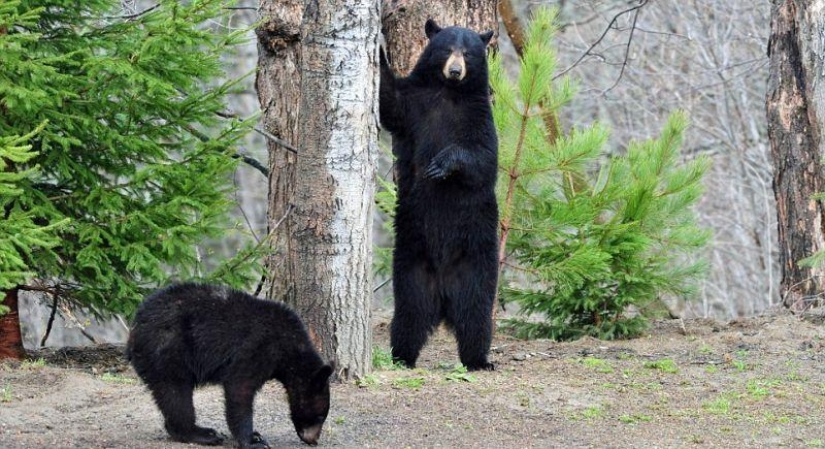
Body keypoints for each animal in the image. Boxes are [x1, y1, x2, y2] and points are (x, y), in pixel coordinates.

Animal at [126, 282, 333, 448]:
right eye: (321, 416)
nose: (313, 440)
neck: (290, 347)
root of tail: (135, 326)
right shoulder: (258, 348)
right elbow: (239, 387)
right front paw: (252, 441)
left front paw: (256, 435)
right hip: (167, 349)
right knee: (175, 393)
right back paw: (204, 434)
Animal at [379, 19, 498, 371]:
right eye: (447, 49)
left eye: (468, 52)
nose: (455, 71)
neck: (448, 92)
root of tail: (444, 295)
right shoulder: (415, 103)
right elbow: (391, 103)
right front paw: (377, 53)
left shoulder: (479, 115)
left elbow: (483, 157)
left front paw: (442, 164)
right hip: (411, 264)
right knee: (409, 316)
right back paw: (402, 356)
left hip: (476, 263)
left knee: (476, 316)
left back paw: (479, 360)